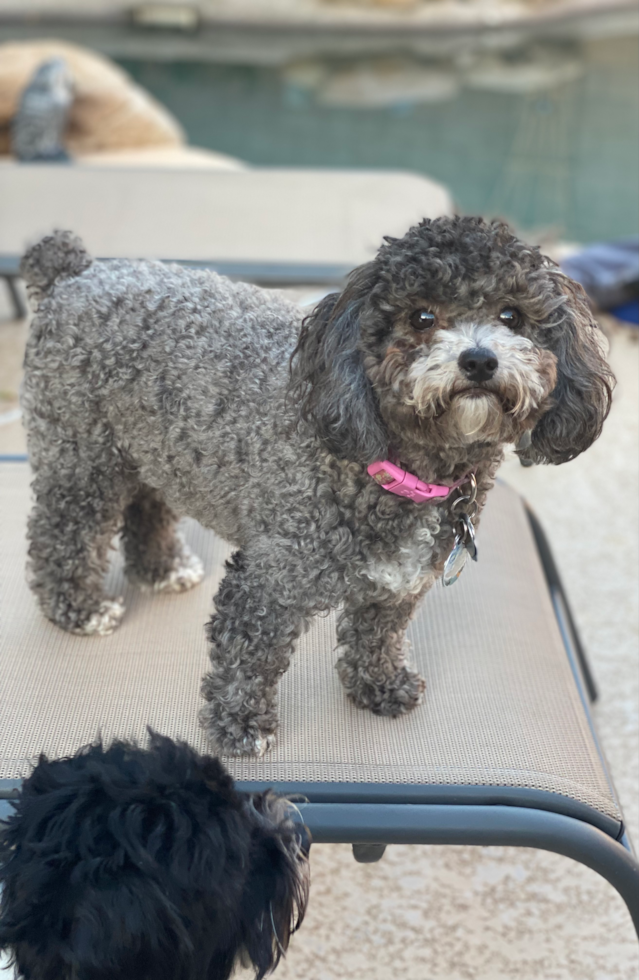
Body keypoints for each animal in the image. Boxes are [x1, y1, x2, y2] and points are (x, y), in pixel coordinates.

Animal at [21, 220, 616, 756]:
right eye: (421, 317)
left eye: (512, 315)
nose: (478, 359)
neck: (395, 469)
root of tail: (77, 271)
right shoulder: (268, 580)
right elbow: (247, 654)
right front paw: (240, 725)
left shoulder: (397, 584)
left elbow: (378, 635)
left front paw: (379, 686)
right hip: (82, 455)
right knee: (62, 531)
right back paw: (79, 608)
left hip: (150, 448)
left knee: (145, 505)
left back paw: (163, 568)